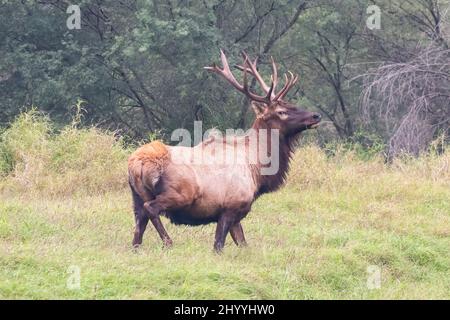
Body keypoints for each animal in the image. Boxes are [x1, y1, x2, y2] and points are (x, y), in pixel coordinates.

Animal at [128, 50, 322, 251]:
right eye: (282, 111)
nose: (316, 115)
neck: (257, 169)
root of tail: (137, 164)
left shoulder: (236, 214)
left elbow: (243, 244)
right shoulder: (230, 207)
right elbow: (219, 246)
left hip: (136, 198)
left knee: (138, 227)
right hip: (178, 194)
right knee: (151, 208)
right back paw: (168, 242)